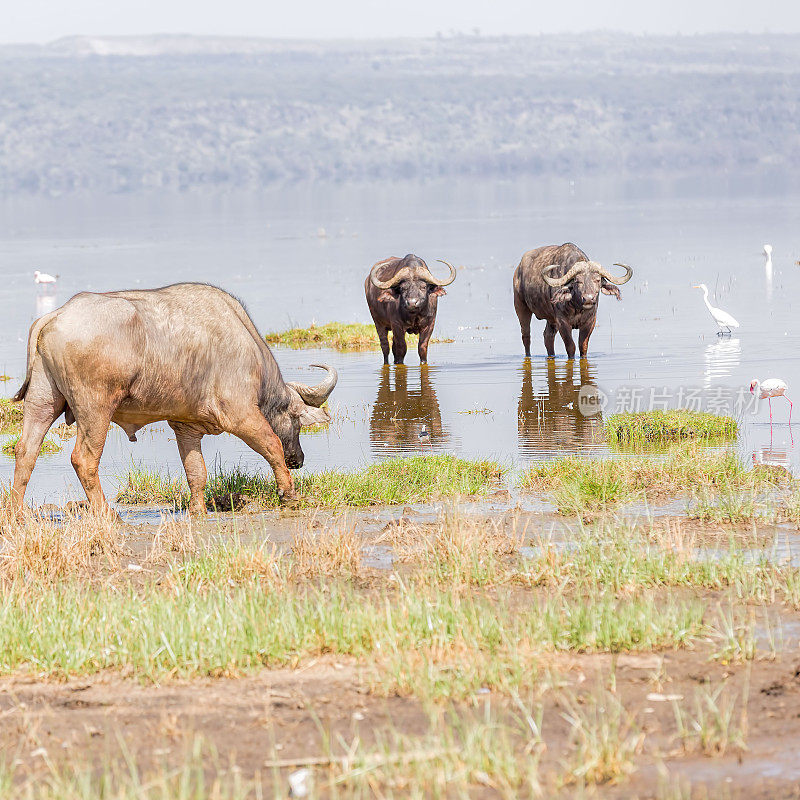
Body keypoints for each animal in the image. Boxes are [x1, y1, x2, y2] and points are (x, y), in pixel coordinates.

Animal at [12, 284, 338, 516]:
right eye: (296, 420)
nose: (298, 460)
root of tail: (56, 315)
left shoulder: (185, 427)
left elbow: (196, 471)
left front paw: (198, 510)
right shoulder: (241, 415)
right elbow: (271, 446)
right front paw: (289, 495)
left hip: (43, 401)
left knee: (25, 452)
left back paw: (17, 514)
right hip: (95, 409)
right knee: (84, 459)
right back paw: (107, 514)